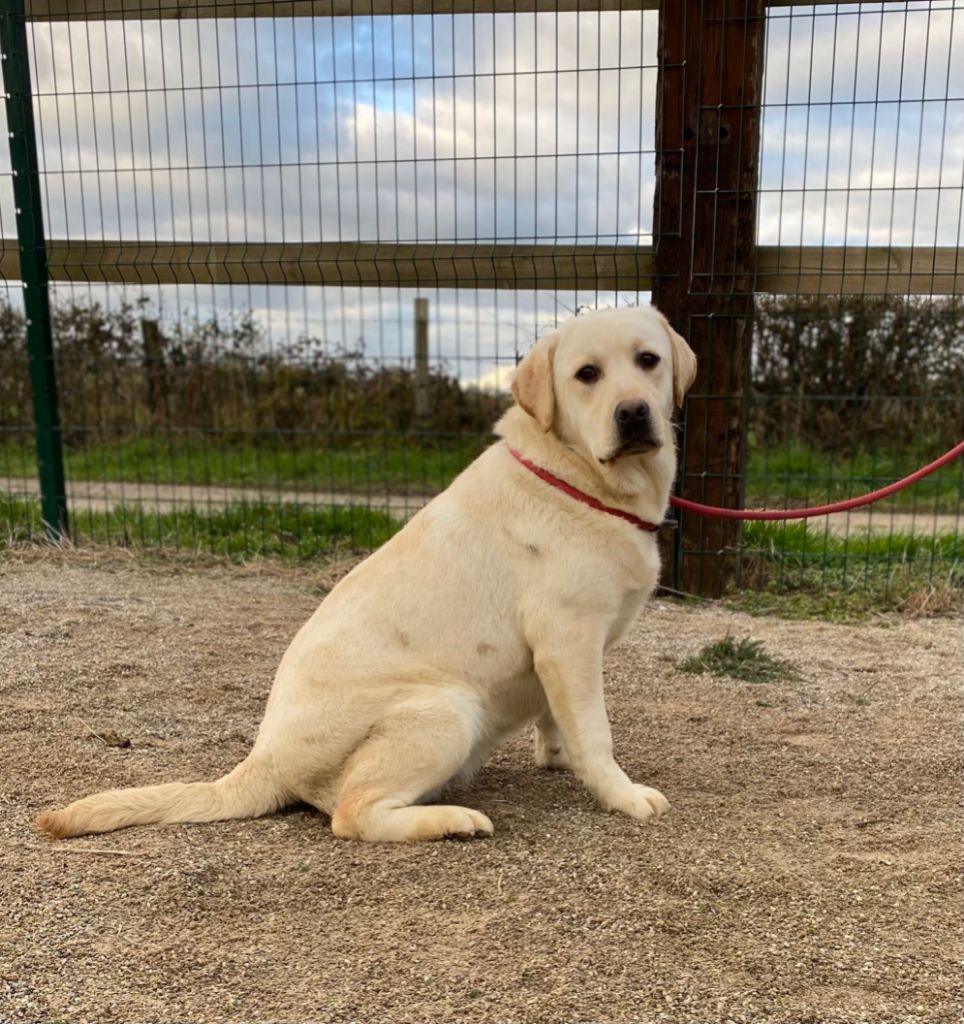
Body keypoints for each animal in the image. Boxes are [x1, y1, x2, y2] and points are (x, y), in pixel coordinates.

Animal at [37, 305, 696, 847]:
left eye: (648, 360)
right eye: (586, 374)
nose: (633, 413)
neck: (575, 478)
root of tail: (264, 760)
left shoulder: (560, 659)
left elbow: (558, 721)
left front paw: (557, 761)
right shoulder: (568, 640)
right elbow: (596, 734)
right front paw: (621, 795)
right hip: (447, 709)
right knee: (351, 814)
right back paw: (450, 822)